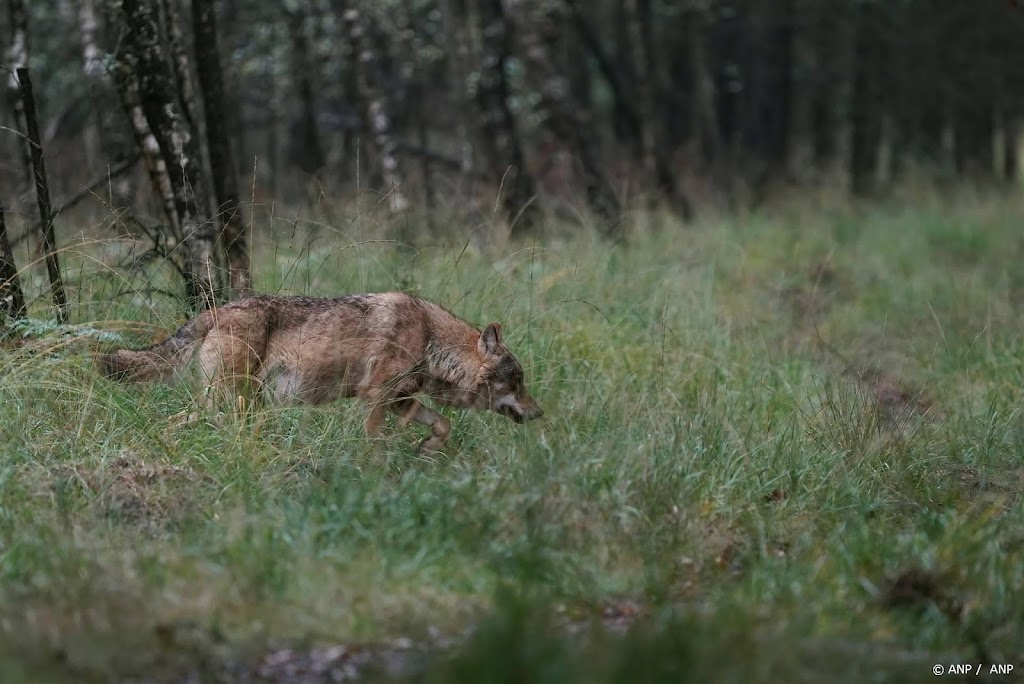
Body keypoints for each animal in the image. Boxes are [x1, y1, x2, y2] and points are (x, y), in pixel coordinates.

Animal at [96, 290, 544, 450]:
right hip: (231, 402)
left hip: (237, 406)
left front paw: (428, 449)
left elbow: (444, 424)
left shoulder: (401, 401)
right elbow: (373, 443)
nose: (540, 413)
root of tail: (214, 311)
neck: (430, 339)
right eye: (517, 381)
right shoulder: (375, 399)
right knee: (176, 421)